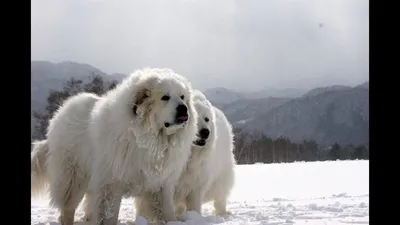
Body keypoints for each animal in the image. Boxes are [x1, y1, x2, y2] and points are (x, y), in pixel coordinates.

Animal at [30, 68, 199, 225]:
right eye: (165, 97)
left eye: (182, 97)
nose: (183, 108)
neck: (149, 139)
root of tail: (60, 112)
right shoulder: (111, 184)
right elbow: (109, 214)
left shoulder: (160, 184)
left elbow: (166, 211)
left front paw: (172, 221)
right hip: (73, 178)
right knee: (68, 208)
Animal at [134, 89, 236, 221]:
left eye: (206, 119)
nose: (205, 132)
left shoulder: (195, 181)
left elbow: (194, 201)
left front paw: (195, 217)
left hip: (221, 171)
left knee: (220, 194)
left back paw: (222, 212)